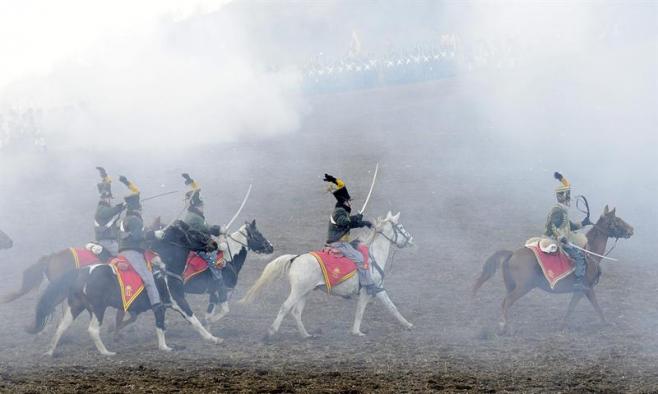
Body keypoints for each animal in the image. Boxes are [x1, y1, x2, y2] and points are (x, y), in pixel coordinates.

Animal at [27, 222, 223, 358]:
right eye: (194, 233)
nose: (214, 244)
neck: (165, 267)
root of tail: (81, 273)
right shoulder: (178, 300)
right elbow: (193, 320)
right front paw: (212, 338)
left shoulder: (161, 306)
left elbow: (160, 324)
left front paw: (164, 345)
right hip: (98, 308)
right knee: (92, 330)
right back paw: (106, 352)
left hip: (76, 306)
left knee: (61, 327)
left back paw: (50, 351)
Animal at [114, 220, 272, 334]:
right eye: (258, 234)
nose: (271, 246)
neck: (228, 258)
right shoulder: (220, 290)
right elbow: (223, 311)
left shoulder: (213, 293)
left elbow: (210, 313)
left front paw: (208, 331)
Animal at [241, 211, 412, 340]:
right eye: (401, 226)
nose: (410, 239)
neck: (372, 255)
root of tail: (295, 258)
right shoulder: (367, 290)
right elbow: (361, 311)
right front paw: (357, 332)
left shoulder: (378, 289)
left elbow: (392, 307)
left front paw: (408, 325)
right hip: (298, 291)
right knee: (285, 307)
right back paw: (271, 332)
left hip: (305, 292)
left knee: (296, 312)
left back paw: (306, 335)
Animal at [472, 205, 636, 334]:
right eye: (617, 220)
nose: (631, 229)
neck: (589, 252)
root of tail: (512, 254)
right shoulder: (586, 288)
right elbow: (594, 307)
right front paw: (606, 323)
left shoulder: (580, 291)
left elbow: (572, 308)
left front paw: (562, 326)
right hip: (523, 287)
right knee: (507, 302)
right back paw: (505, 327)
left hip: (511, 286)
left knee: (505, 302)